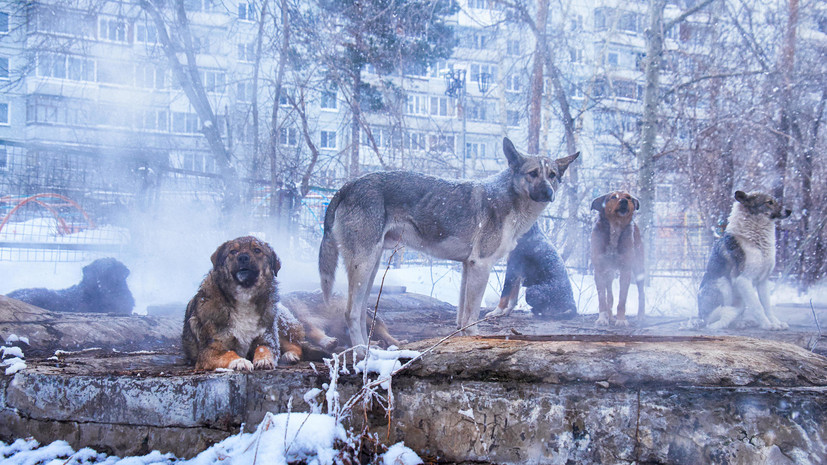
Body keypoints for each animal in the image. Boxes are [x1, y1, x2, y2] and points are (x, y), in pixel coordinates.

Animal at [183, 236, 306, 370]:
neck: (244, 295)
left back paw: (290, 355)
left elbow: (263, 348)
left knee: (296, 344)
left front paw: (263, 360)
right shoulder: (210, 349)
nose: (243, 257)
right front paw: (240, 361)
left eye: (257, 250)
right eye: (233, 251)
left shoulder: (268, 339)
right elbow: (229, 353)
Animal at [320, 136, 580, 346]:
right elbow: (472, 315)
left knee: (362, 312)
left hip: (371, 268)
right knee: (351, 314)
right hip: (363, 266)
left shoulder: (468, 267)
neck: (508, 198)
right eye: (533, 173)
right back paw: (361, 353)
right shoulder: (481, 265)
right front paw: (475, 336)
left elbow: (461, 317)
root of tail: (348, 185)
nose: (548, 193)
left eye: (552, 175)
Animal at [588, 192, 648, 326]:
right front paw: (602, 318)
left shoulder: (626, 270)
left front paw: (621, 320)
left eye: (628, 197)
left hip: (639, 267)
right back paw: (609, 317)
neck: (615, 226)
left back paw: (641, 316)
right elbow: (602, 298)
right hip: (609, 273)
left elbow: (622, 299)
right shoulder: (599, 270)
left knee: (641, 292)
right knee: (609, 296)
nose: (624, 201)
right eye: (613, 197)